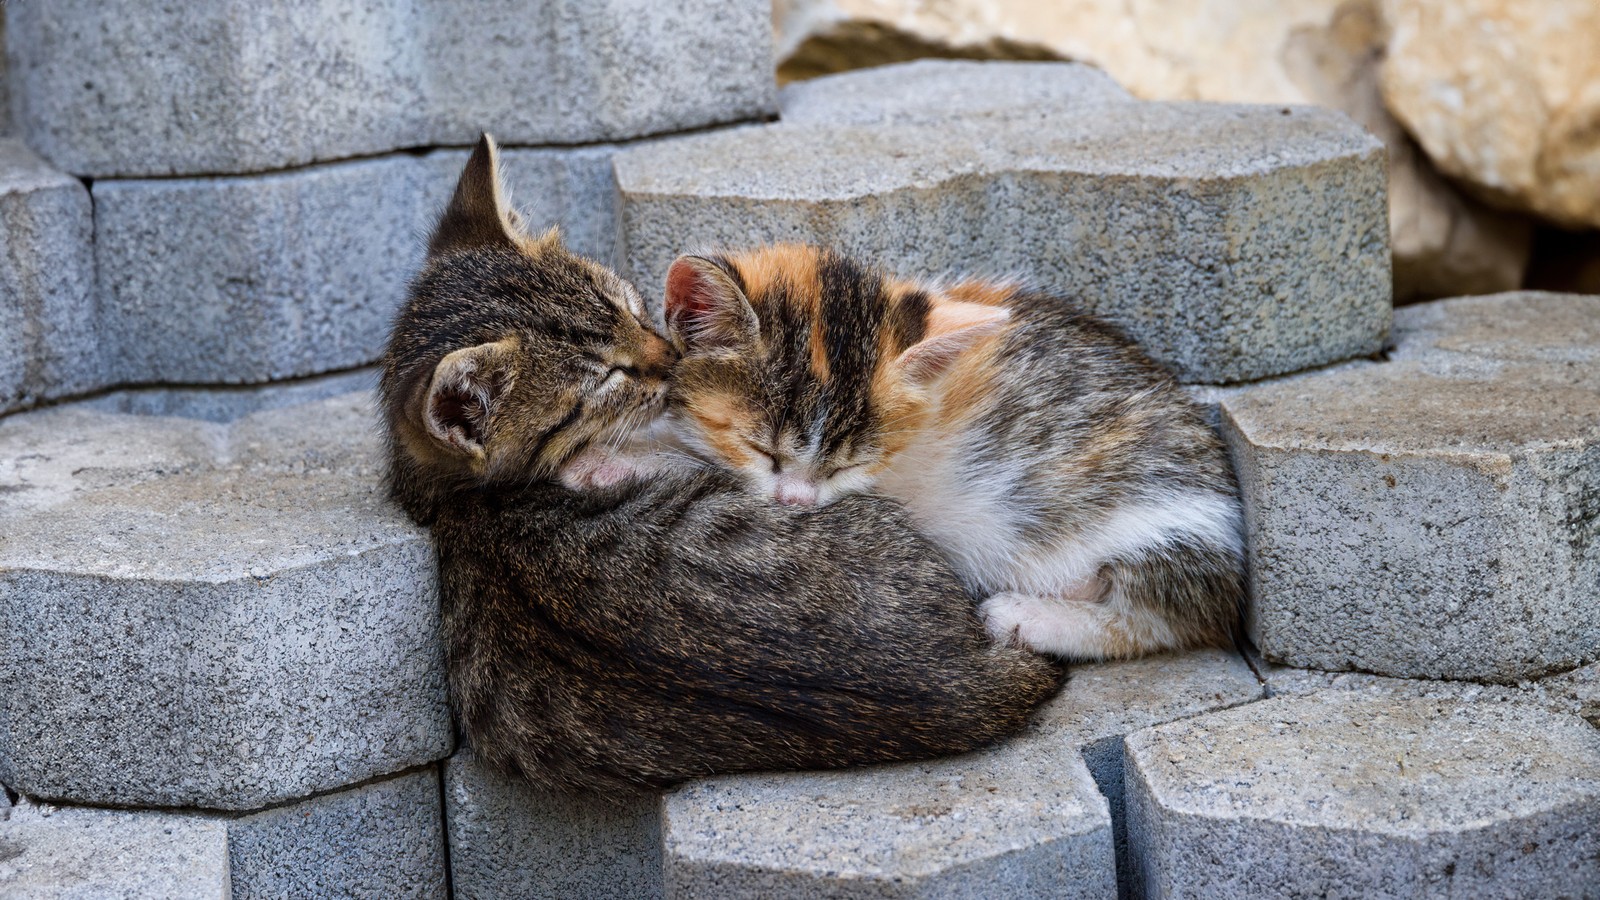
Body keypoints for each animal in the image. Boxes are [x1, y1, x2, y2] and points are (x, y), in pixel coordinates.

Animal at [662, 245, 1248, 659]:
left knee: (1165, 619)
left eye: (847, 466)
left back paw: (1027, 617)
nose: (796, 504)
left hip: (1160, 522)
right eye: (762, 450)